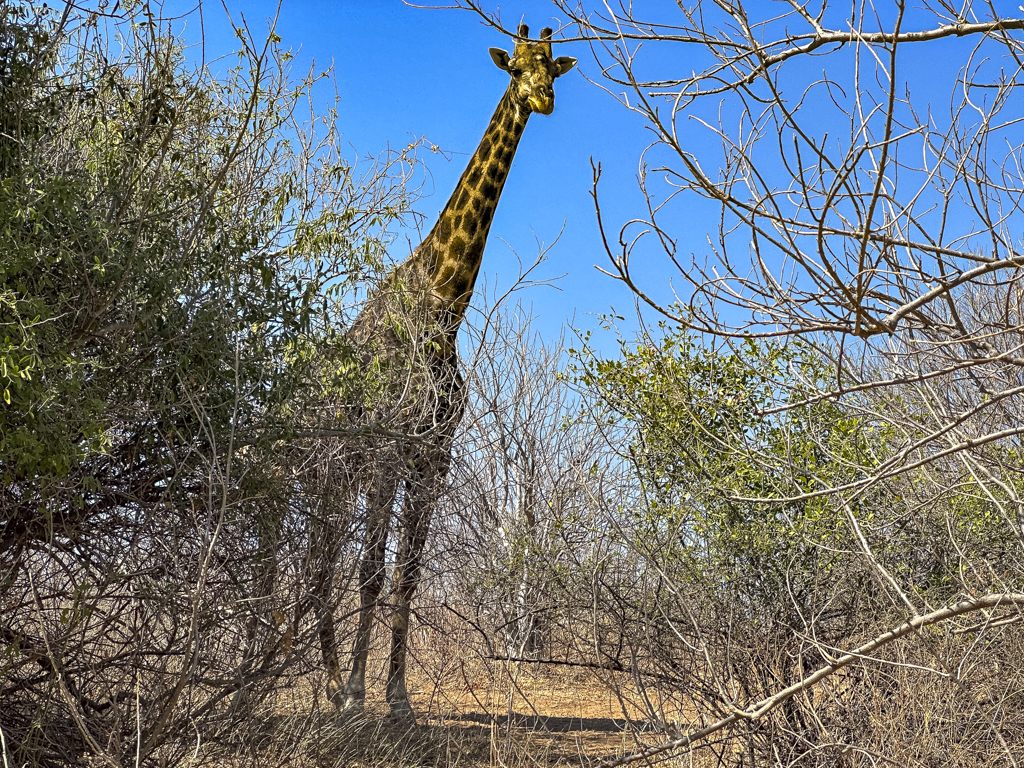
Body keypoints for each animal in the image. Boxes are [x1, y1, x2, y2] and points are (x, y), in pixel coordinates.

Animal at [317, 24, 577, 720]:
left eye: (553, 69)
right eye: (515, 67)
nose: (542, 100)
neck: (443, 307)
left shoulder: (432, 456)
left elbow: (407, 575)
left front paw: (397, 697)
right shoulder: (388, 450)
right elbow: (372, 573)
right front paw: (360, 692)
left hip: (342, 475)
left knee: (319, 560)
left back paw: (327, 677)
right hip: (326, 470)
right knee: (311, 558)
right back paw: (314, 678)